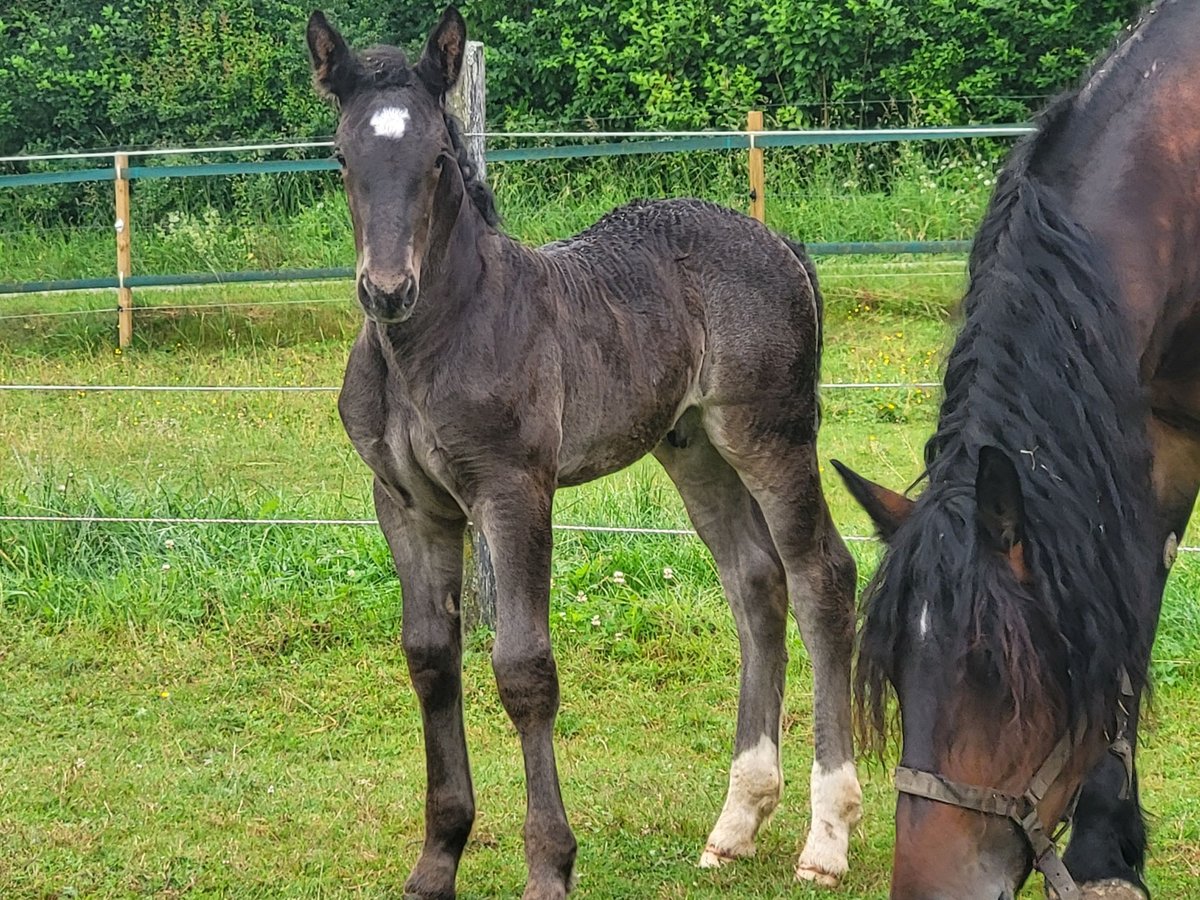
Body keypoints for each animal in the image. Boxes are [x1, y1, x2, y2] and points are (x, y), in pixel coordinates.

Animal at [304, 8, 859, 900]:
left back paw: (827, 837)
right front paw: (437, 860)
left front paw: (550, 865)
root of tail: (780, 244)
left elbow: (524, 670)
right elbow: (431, 660)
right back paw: (736, 823)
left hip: (768, 435)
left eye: (436, 160)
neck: (432, 343)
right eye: (343, 159)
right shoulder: (408, 504)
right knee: (754, 584)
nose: (387, 291)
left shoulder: (513, 491)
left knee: (821, 580)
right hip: (693, 448)